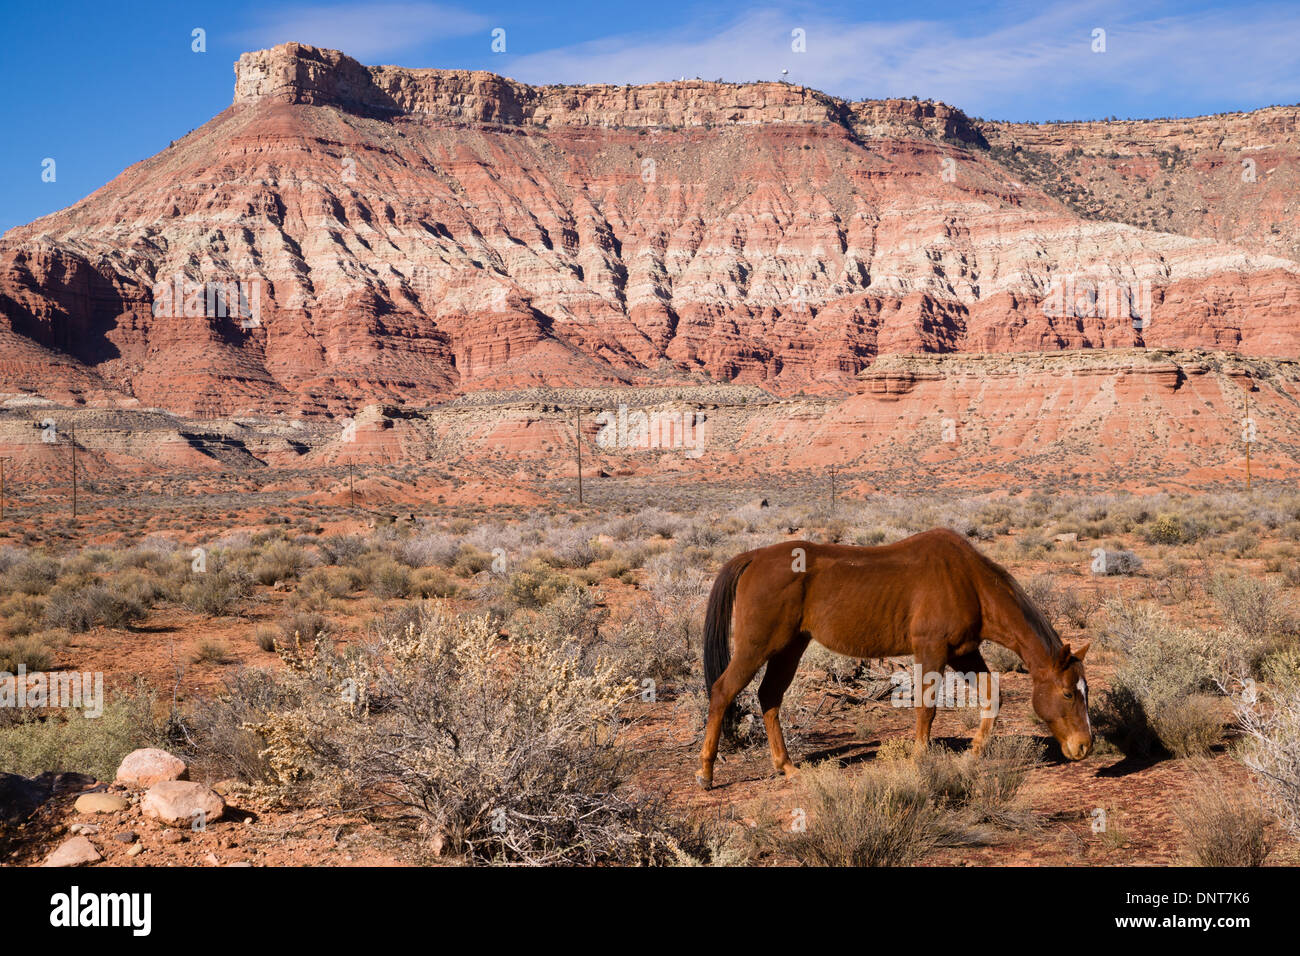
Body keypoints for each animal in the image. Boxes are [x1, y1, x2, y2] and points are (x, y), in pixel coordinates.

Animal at [696, 528, 1092, 790]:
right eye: (1068, 693)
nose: (1084, 747)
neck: (968, 581)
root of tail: (754, 557)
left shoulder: (964, 652)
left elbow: (993, 694)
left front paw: (975, 751)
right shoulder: (932, 651)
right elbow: (927, 708)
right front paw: (920, 758)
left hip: (790, 647)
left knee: (769, 697)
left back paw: (787, 767)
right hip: (757, 647)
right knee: (722, 691)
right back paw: (706, 773)